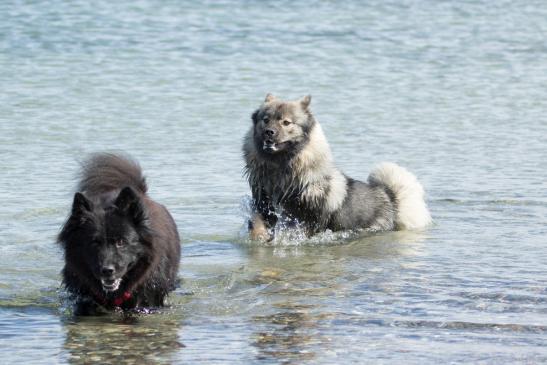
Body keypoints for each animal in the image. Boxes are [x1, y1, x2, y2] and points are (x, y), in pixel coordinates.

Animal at [244, 94, 432, 239]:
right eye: (265, 120)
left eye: (286, 122)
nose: (269, 132)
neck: (280, 171)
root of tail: (390, 196)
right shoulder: (262, 201)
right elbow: (257, 220)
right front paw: (259, 235)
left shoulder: (307, 216)